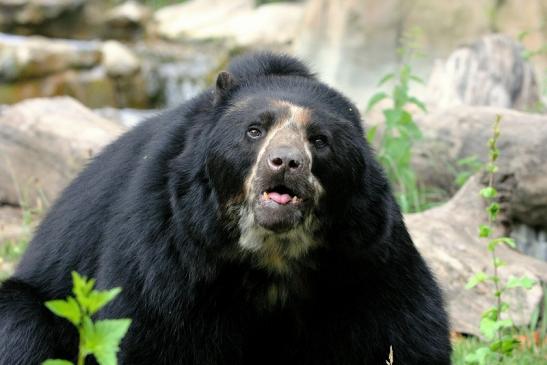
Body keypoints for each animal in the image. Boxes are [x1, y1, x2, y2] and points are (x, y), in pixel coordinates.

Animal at [0, 52, 452, 364]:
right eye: (254, 131)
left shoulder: (366, 249)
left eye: (319, 140)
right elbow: (150, 327)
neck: (272, 251)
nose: (285, 162)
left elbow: (403, 326)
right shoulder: (170, 241)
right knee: (22, 325)